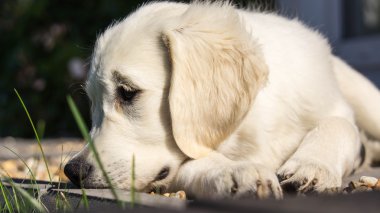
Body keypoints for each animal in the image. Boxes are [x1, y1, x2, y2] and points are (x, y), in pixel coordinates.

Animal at [63, 1, 380, 200]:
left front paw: (311, 167)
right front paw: (235, 172)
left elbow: (339, 126)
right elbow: (190, 165)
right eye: (91, 104)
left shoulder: (332, 106)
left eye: (127, 92)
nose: (72, 171)